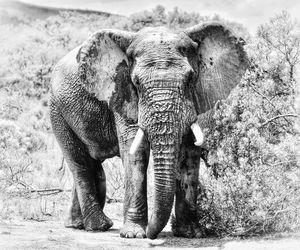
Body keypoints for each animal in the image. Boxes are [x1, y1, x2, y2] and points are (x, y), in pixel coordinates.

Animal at [48, 21, 246, 238]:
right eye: (136, 83)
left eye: (190, 79)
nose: (153, 232)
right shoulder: (122, 94)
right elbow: (136, 152)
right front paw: (134, 234)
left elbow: (188, 153)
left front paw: (192, 233)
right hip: (57, 111)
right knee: (80, 164)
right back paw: (98, 226)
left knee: (94, 167)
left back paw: (77, 224)